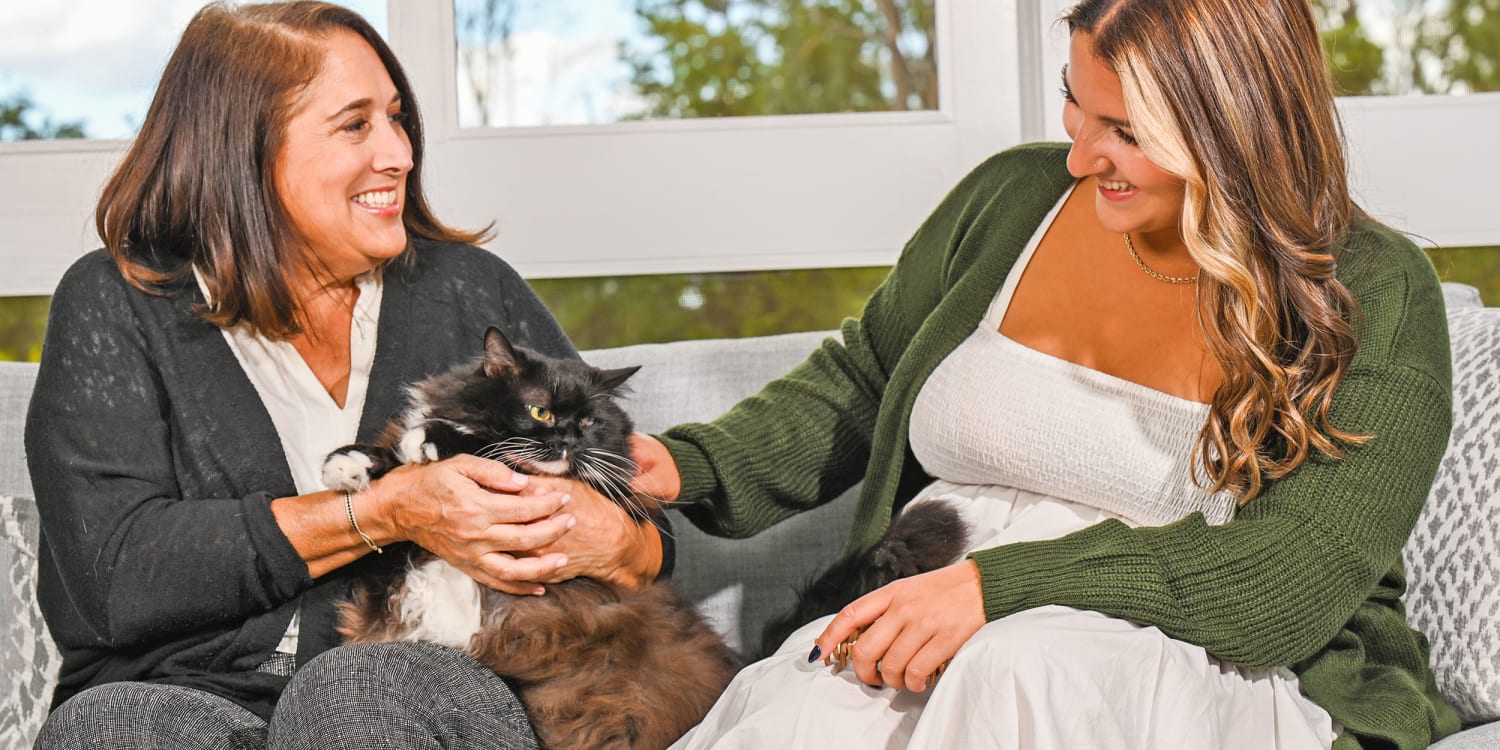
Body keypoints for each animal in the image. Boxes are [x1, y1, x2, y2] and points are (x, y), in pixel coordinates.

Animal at [324, 328, 738, 750]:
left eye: (588, 420)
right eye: (541, 412)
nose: (568, 440)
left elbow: (490, 451)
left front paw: (428, 439)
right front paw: (349, 462)